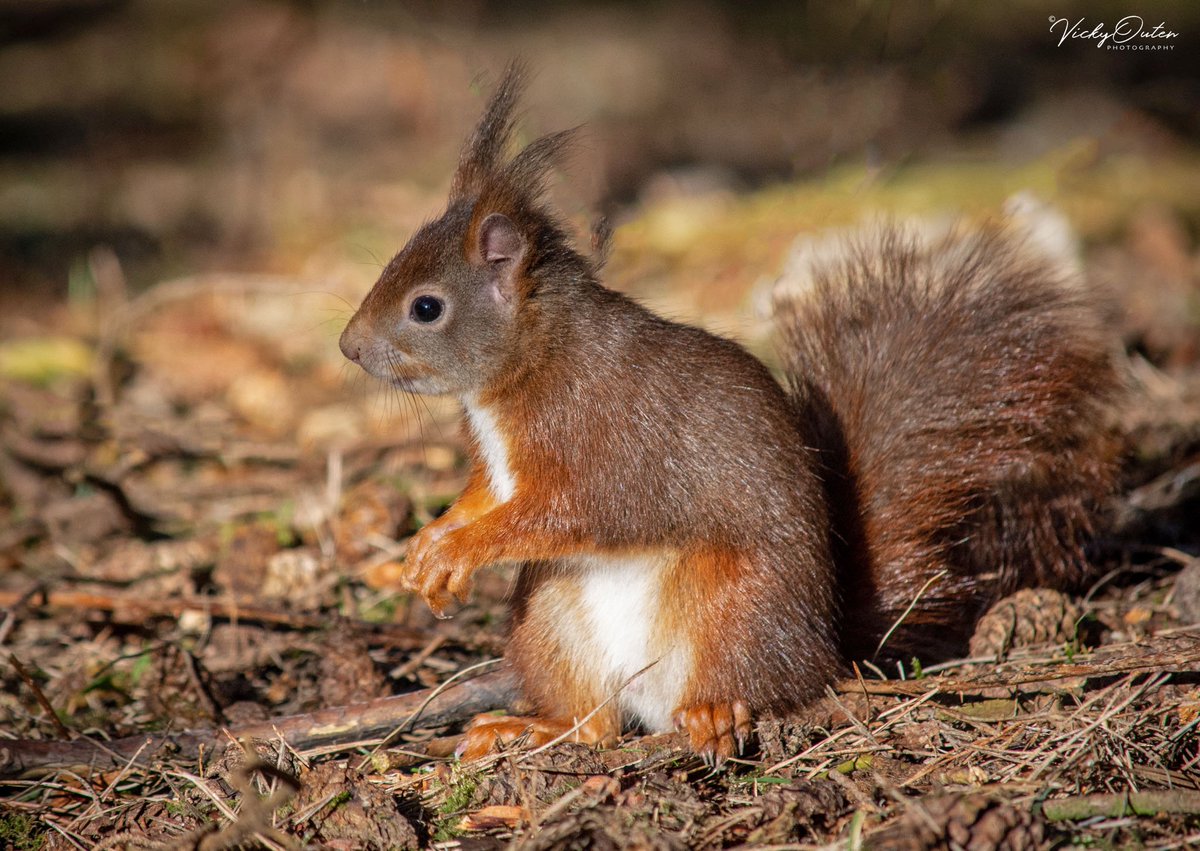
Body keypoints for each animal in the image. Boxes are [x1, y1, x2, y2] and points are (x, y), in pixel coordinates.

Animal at [336, 64, 1113, 758]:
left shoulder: (601, 440)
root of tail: (824, 646)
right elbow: (482, 497)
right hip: (550, 614)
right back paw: (530, 727)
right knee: (596, 726)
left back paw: (712, 713)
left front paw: (456, 550)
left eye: (426, 307)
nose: (348, 347)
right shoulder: (496, 466)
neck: (524, 369)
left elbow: (569, 509)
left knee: (740, 685)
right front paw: (428, 545)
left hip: (730, 606)